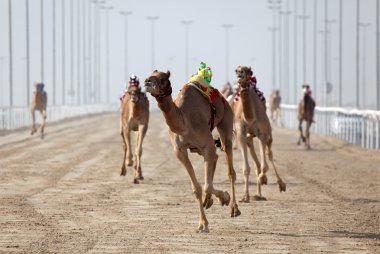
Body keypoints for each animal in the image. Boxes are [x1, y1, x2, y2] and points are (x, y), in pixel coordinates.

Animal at [145, 65, 240, 232]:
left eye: (163, 78)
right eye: (150, 75)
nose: (147, 82)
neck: (184, 123)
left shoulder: (206, 143)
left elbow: (206, 186)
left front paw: (224, 198)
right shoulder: (180, 151)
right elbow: (197, 187)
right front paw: (202, 223)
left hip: (226, 118)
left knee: (230, 167)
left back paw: (233, 208)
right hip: (198, 148)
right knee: (215, 158)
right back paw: (209, 201)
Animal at [233, 66, 286, 202]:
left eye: (246, 70)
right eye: (236, 70)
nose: (239, 74)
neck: (249, 117)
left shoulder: (262, 134)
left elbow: (265, 165)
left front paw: (263, 178)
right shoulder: (240, 135)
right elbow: (246, 168)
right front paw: (245, 196)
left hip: (268, 134)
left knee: (269, 154)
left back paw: (279, 184)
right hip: (249, 138)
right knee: (255, 159)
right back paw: (257, 194)